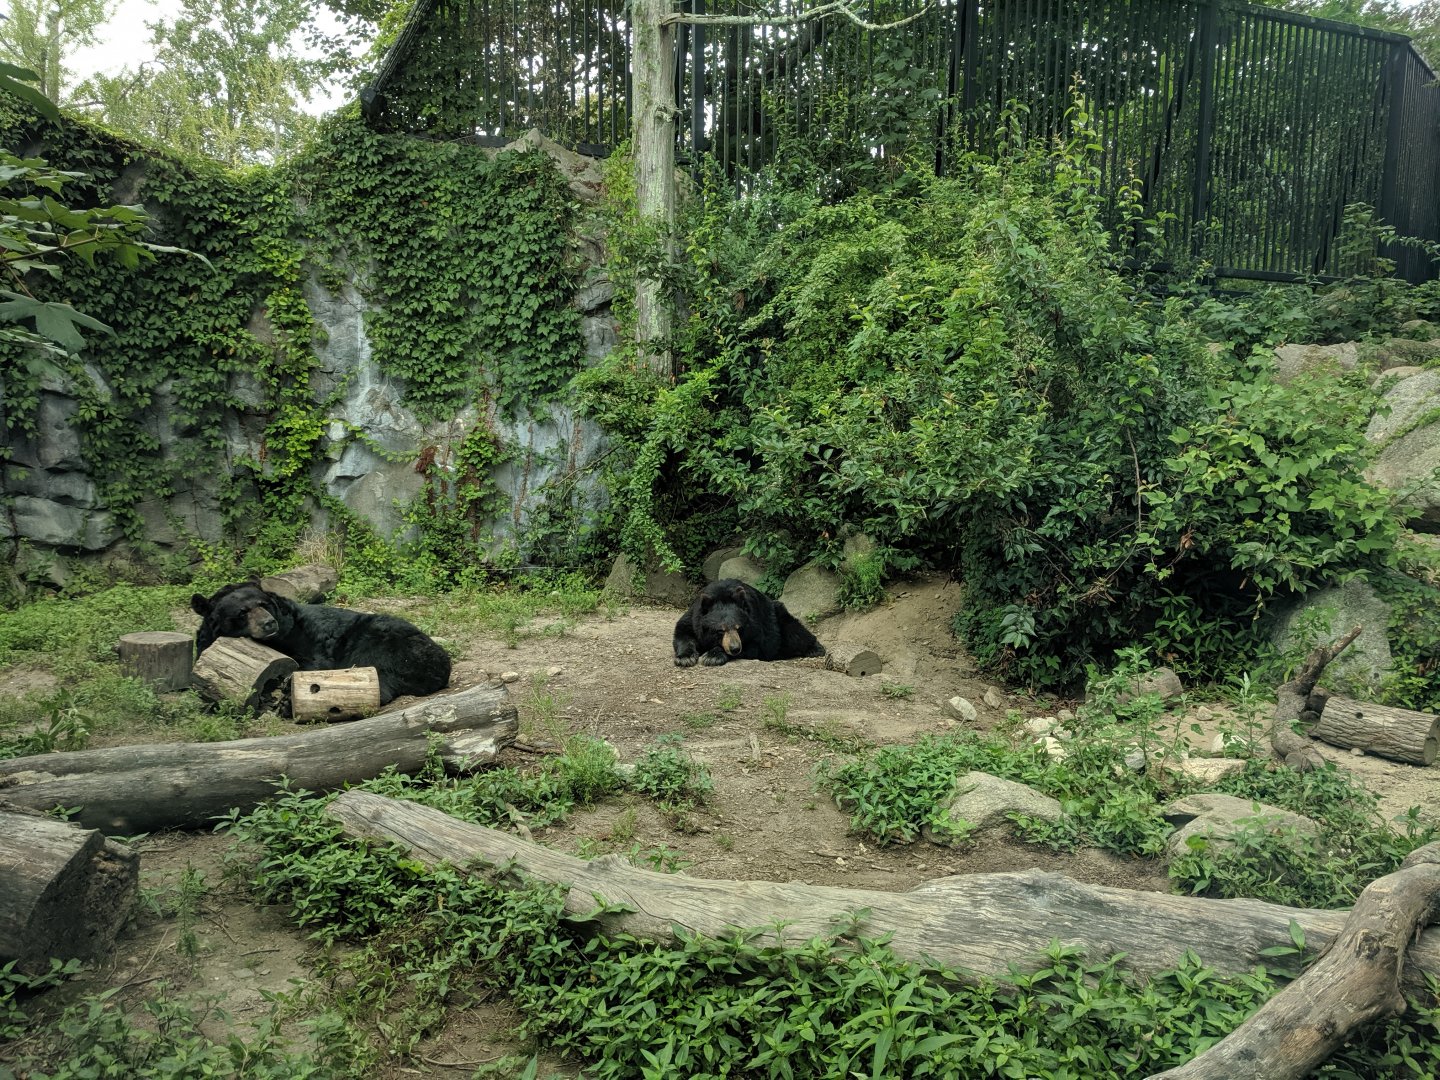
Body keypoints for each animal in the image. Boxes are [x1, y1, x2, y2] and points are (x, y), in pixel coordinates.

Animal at [191, 582, 451, 705]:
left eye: (263, 604)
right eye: (243, 612)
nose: (268, 623)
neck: (277, 638)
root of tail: (442, 664)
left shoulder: (306, 636)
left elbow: (314, 662)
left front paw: (288, 688)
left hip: (382, 642)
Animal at [673, 578, 825, 667]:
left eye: (739, 628)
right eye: (720, 630)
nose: (735, 648)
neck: (722, 595)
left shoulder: (756, 624)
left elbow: (754, 646)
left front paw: (712, 656)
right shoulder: (694, 617)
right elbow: (683, 633)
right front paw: (685, 658)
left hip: (780, 618)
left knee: (795, 633)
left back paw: (815, 648)